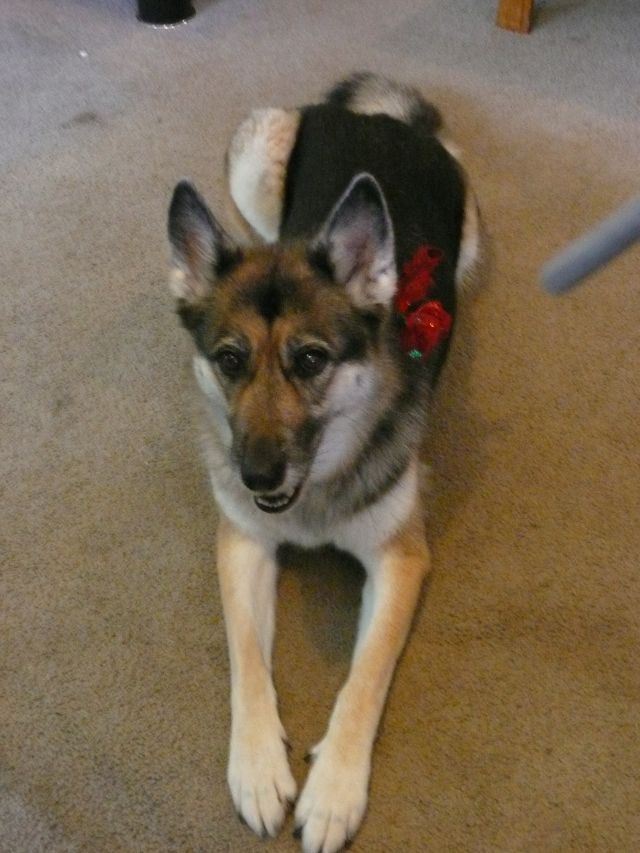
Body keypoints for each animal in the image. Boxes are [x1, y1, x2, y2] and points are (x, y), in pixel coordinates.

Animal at [167, 73, 480, 853]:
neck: (313, 492)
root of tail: (388, 122)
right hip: (254, 173)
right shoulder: (243, 542)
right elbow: (247, 656)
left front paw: (335, 787)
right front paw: (256, 767)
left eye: (311, 361)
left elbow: (365, 677)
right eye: (229, 361)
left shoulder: (401, 561)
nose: (257, 477)